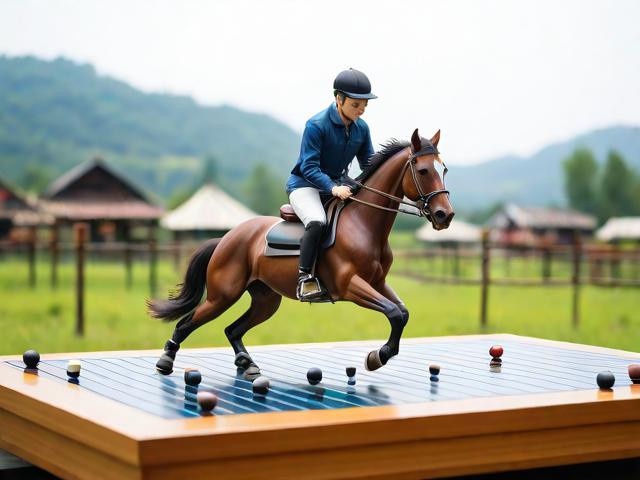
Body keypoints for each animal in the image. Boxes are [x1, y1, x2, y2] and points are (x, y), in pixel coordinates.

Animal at [148, 128, 454, 379]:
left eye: (444, 169)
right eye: (423, 171)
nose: (445, 215)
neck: (365, 224)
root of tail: (226, 238)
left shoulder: (377, 283)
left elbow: (402, 313)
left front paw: (378, 356)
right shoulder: (352, 285)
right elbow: (393, 313)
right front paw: (376, 357)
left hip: (265, 300)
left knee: (232, 330)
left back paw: (248, 365)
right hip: (222, 296)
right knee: (187, 323)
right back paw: (166, 360)